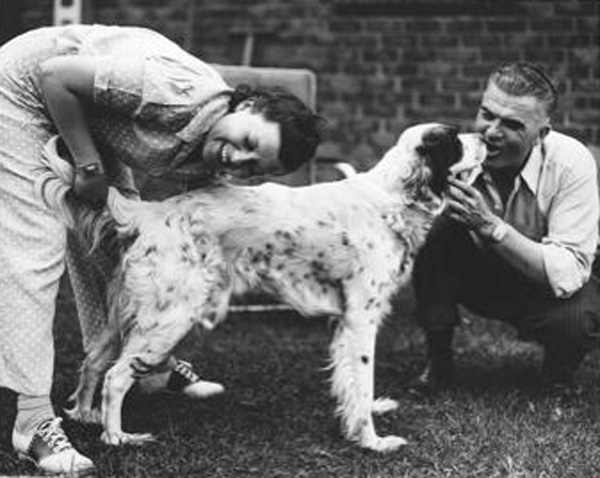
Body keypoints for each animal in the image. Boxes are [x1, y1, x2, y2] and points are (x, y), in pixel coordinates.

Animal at [62, 123, 485, 453]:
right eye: (454, 140)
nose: (484, 136)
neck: (392, 199)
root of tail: (153, 212)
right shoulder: (362, 318)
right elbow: (362, 380)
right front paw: (372, 441)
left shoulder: (346, 321)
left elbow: (350, 380)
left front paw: (362, 416)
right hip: (168, 320)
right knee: (116, 377)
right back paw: (117, 437)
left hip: (125, 318)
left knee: (93, 361)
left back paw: (84, 415)